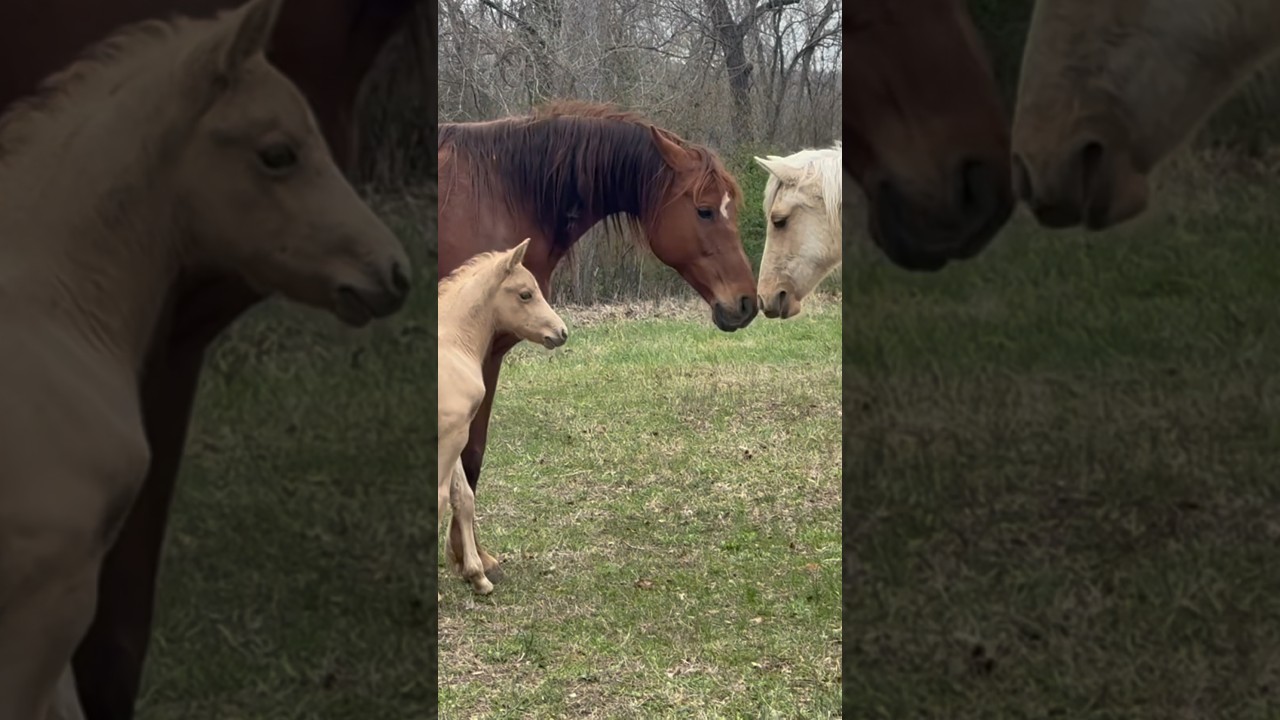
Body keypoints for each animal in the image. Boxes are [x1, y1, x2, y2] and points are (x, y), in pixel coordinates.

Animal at [438, 239, 568, 596]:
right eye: (525, 294)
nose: (562, 332)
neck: (453, 345)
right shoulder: (450, 438)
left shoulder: (457, 435)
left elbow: (463, 498)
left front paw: (477, 575)